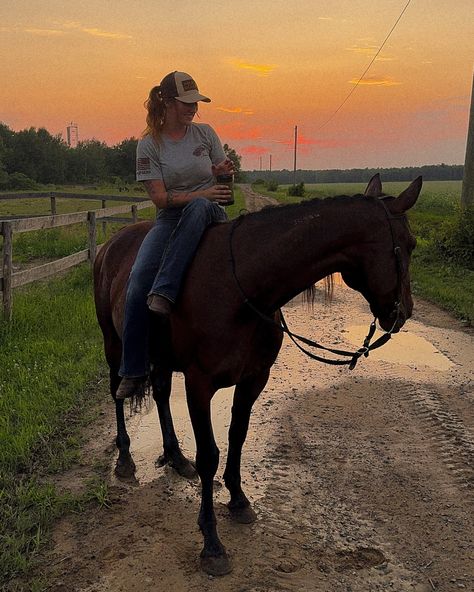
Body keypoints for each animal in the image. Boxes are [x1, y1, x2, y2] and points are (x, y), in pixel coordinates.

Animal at [92, 175, 422, 572]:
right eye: (410, 245)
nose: (404, 312)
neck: (242, 288)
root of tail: (110, 244)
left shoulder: (254, 379)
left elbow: (238, 436)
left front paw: (238, 500)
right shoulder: (199, 384)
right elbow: (210, 455)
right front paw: (212, 543)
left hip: (162, 358)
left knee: (160, 394)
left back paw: (175, 457)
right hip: (114, 345)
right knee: (117, 392)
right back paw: (125, 459)